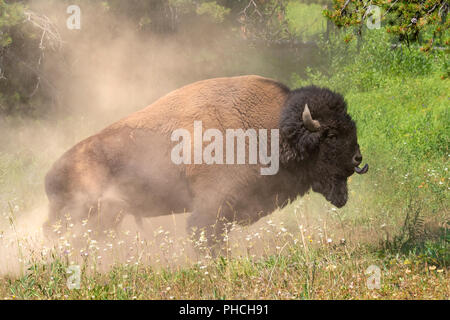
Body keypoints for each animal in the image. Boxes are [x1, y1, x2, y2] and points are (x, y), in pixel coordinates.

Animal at [44, 75, 370, 248]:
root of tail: (50, 174)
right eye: (330, 134)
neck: (274, 130)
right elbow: (206, 236)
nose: (358, 157)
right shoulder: (211, 208)